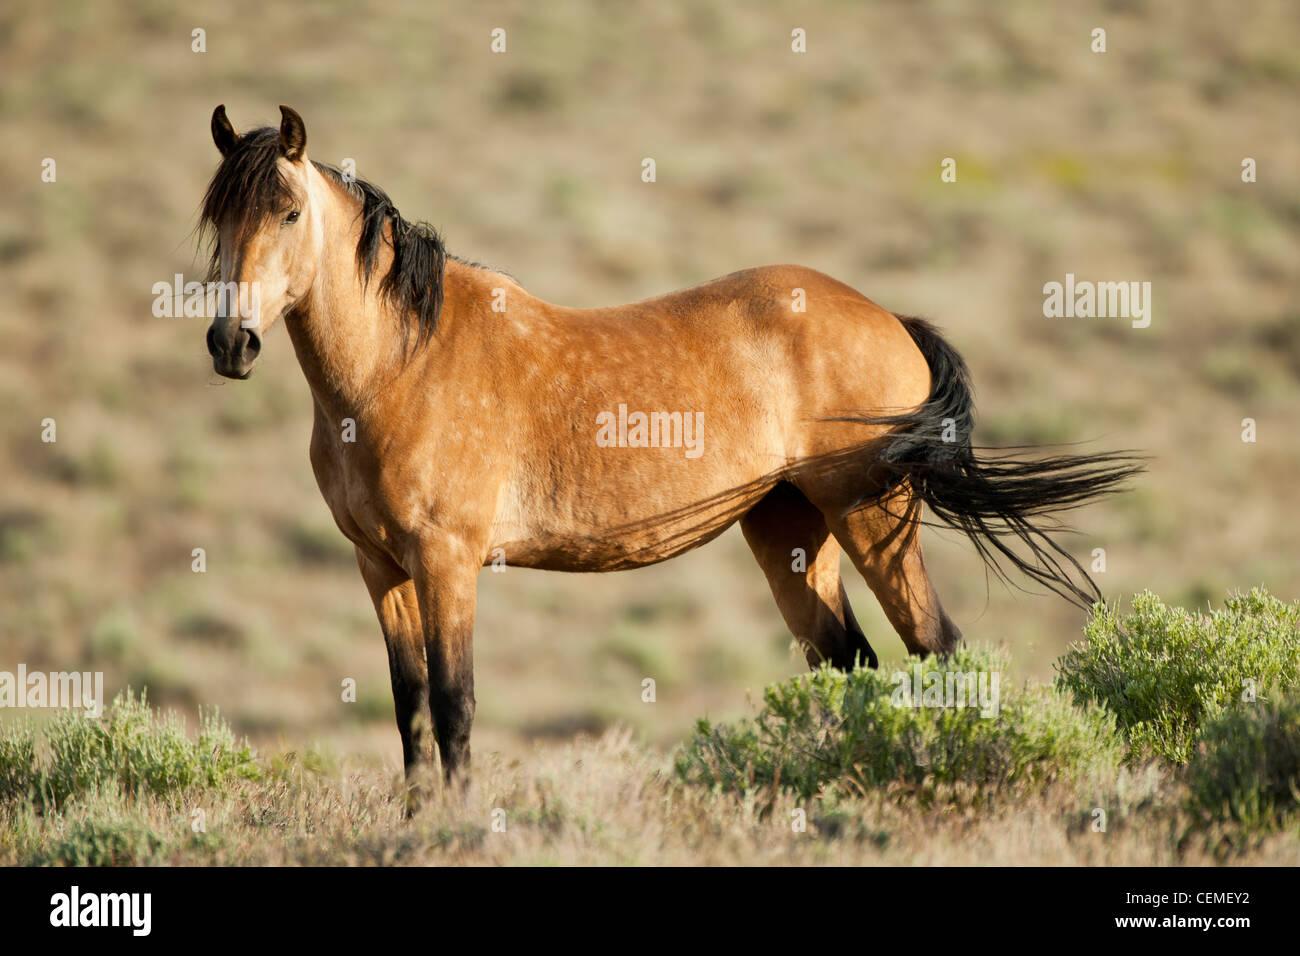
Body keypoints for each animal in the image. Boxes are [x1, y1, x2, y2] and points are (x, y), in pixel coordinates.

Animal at [200, 105, 1140, 804]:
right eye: (218, 217)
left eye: (289, 212)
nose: (230, 343)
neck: (402, 361)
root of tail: (890, 320)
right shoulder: (380, 567)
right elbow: (410, 714)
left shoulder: (447, 563)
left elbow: (456, 707)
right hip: (790, 533)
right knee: (850, 664)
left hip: (874, 519)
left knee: (938, 652)